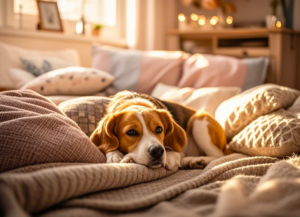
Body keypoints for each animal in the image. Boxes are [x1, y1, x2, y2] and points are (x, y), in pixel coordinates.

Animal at [90, 90, 226, 170]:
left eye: (159, 129)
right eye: (131, 132)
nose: (157, 151)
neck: (135, 101)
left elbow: (174, 153)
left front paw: (170, 157)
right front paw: (115, 155)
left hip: (199, 121)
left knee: (219, 155)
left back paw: (194, 160)